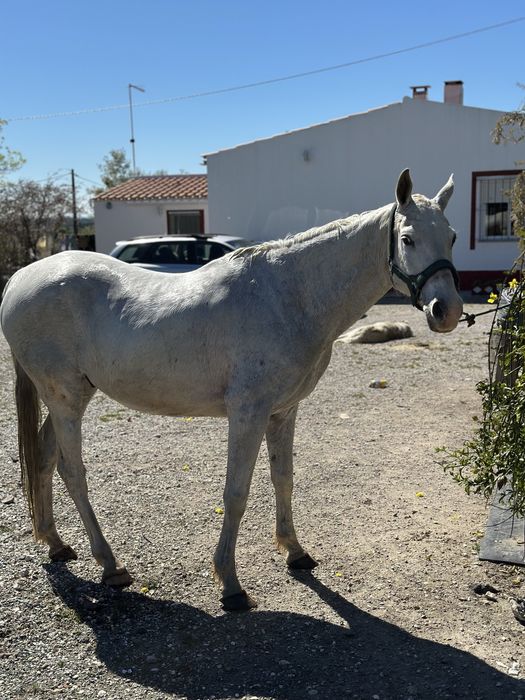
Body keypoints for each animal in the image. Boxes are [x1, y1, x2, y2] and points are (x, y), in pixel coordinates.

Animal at [0, 169, 463, 611]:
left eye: (453, 236)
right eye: (407, 238)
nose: (447, 311)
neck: (288, 297)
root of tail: (21, 277)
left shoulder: (283, 412)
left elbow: (283, 479)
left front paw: (295, 552)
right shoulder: (248, 413)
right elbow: (236, 493)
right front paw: (231, 585)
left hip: (72, 396)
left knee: (43, 457)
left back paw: (57, 544)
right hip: (65, 399)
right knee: (72, 472)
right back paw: (110, 566)